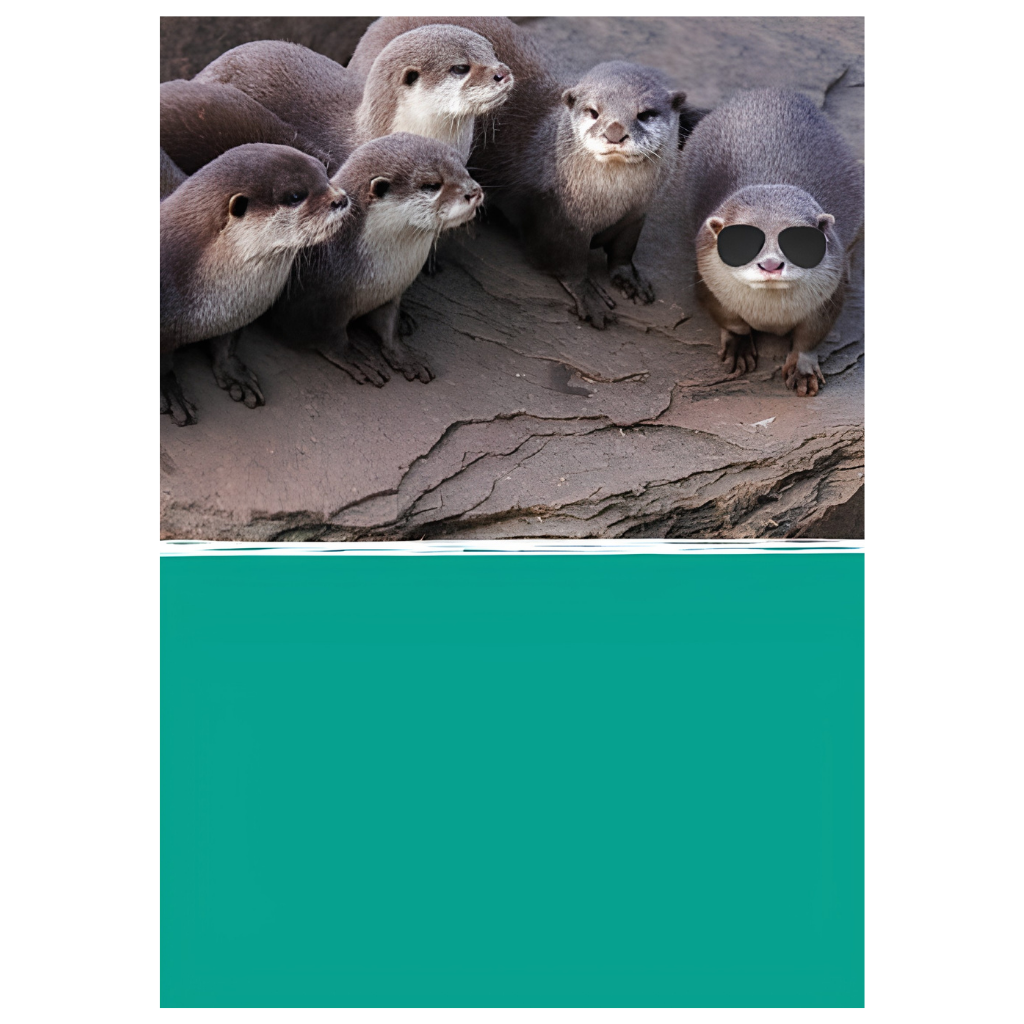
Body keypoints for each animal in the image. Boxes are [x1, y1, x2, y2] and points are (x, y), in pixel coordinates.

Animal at [159, 143, 349, 426]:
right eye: (296, 196)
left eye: (325, 174)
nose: (341, 198)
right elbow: (162, 365)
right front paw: (170, 392)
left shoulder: (238, 314)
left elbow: (227, 344)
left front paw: (234, 374)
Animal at [260, 133, 482, 386]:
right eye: (432, 185)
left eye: (464, 169)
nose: (475, 191)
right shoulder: (314, 305)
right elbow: (330, 339)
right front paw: (358, 360)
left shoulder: (389, 294)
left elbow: (389, 326)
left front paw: (403, 355)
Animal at [349, 17, 687, 328]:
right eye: (593, 112)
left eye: (645, 114)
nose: (615, 133)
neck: (613, 200)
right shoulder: (557, 218)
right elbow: (566, 261)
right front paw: (589, 296)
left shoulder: (637, 213)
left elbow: (624, 251)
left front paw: (630, 278)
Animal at [680, 89, 864, 396]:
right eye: (741, 240)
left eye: (800, 240)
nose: (770, 265)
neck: (770, 316)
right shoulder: (705, 279)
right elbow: (730, 319)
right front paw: (739, 347)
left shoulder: (828, 298)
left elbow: (810, 337)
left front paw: (803, 370)